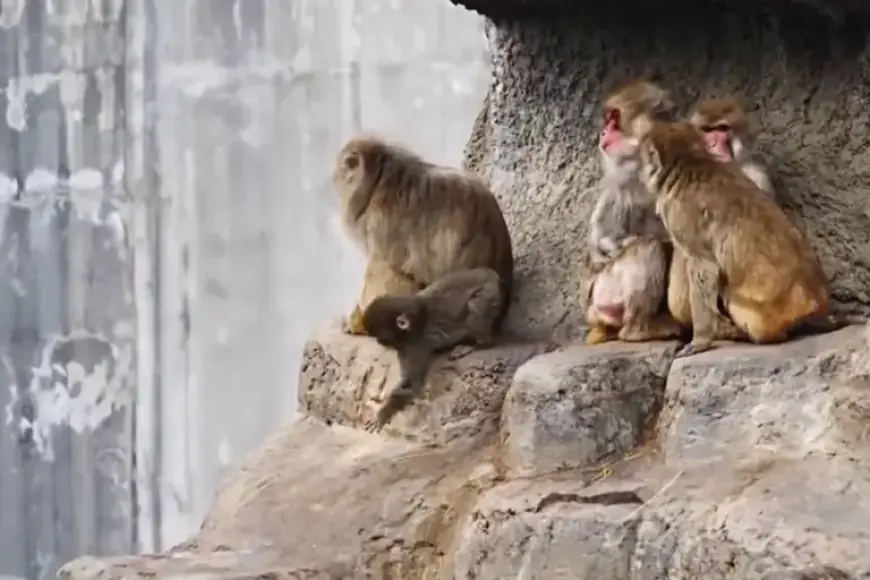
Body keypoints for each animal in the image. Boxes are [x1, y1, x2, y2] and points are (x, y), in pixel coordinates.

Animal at [360, 267, 503, 431]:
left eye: (381, 337)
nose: (378, 342)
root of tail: (491, 273)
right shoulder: (404, 346)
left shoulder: (416, 345)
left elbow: (412, 384)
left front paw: (385, 411)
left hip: (489, 293)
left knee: (476, 307)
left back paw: (478, 343)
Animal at [583, 79, 684, 345]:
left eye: (613, 118)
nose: (603, 133)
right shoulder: (620, 183)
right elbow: (606, 240)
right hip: (607, 290)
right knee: (648, 247)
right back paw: (640, 329)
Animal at [637, 121, 833, 357]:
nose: (641, 172)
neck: (690, 161)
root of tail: (816, 303)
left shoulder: (681, 215)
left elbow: (704, 266)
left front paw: (701, 339)